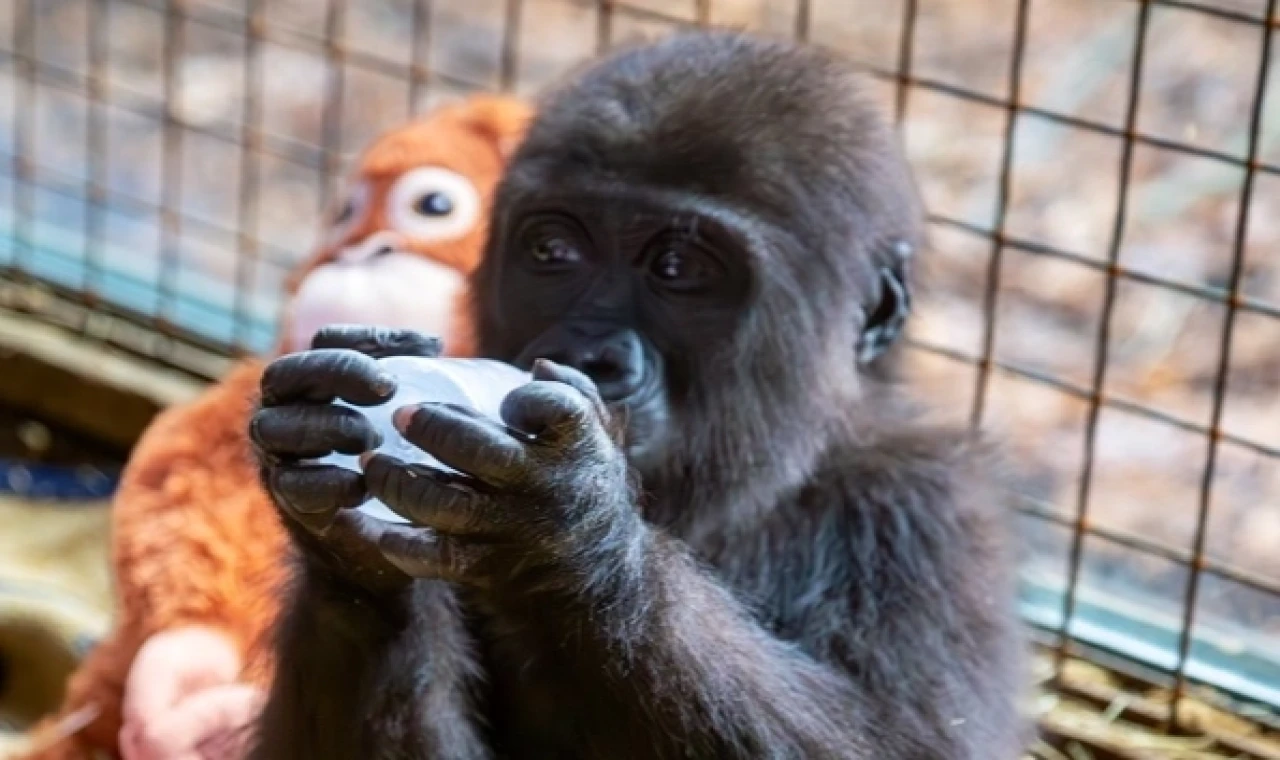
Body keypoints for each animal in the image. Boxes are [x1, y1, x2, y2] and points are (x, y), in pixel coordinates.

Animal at [252, 29, 1029, 757]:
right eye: (553, 252)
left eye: (678, 268)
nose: (587, 353)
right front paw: (344, 557)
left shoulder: (929, 510)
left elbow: (912, 743)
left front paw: (571, 534)